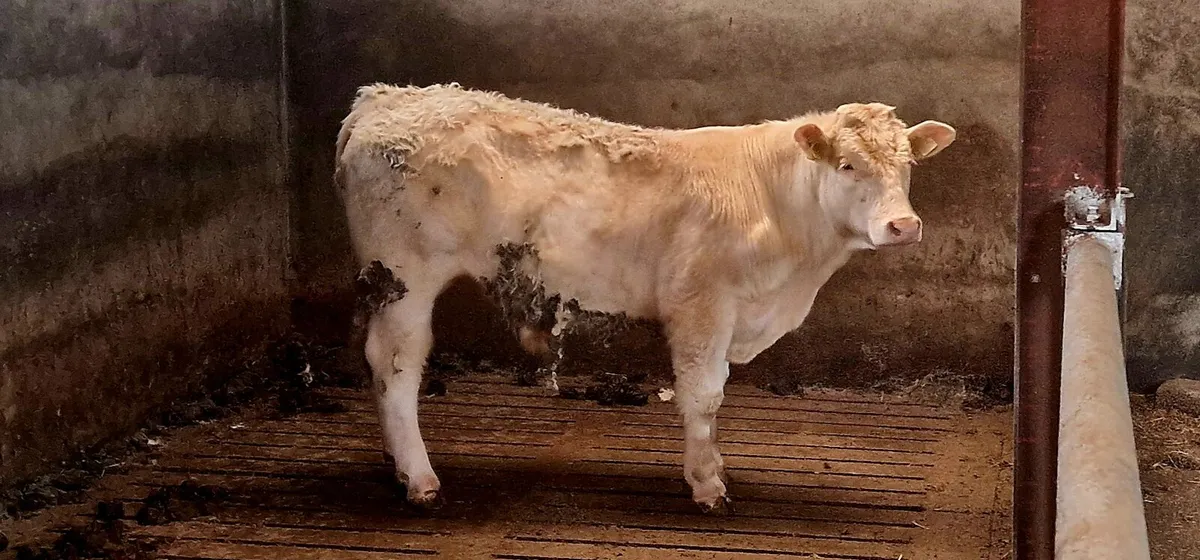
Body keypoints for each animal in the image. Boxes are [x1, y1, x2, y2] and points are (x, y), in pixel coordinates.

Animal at [334, 82, 956, 514]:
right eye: (848, 164)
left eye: (907, 167)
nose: (904, 225)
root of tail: (383, 98)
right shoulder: (701, 304)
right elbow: (703, 396)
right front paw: (706, 484)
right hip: (405, 275)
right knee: (396, 364)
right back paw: (420, 479)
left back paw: (395, 463)